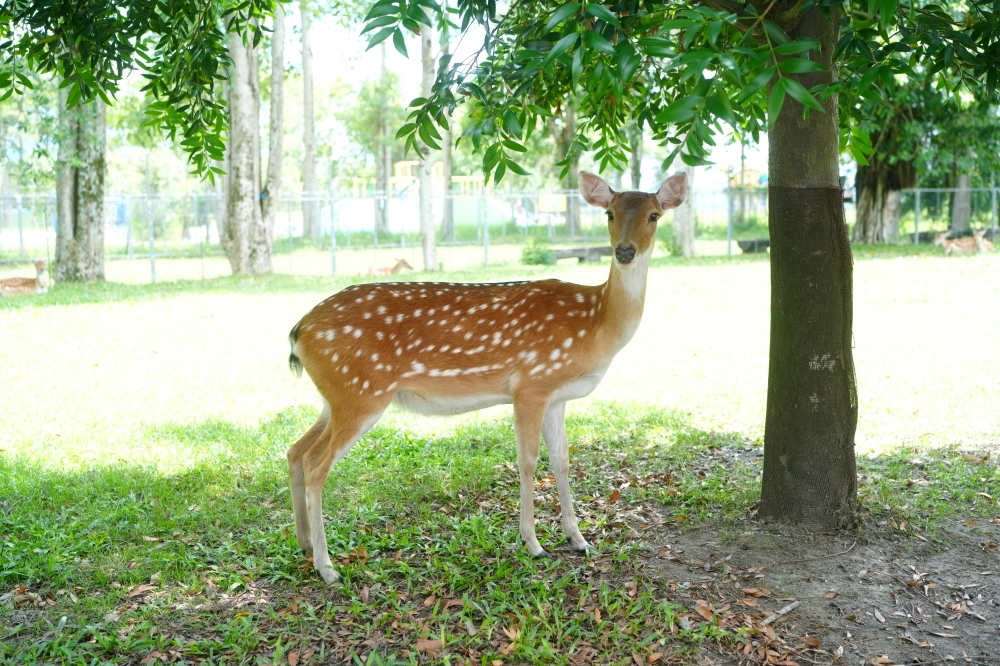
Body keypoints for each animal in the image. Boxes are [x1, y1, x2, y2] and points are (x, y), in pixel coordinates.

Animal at [286, 171, 688, 584]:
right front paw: (534, 544)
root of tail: (298, 331)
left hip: (337, 396)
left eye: (654, 215)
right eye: (609, 213)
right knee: (316, 467)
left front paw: (578, 540)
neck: (596, 322)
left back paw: (304, 543)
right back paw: (327, 567)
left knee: (296, 451)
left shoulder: (557, 396)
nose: (624, 251)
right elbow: (528, 462)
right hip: (360, 393)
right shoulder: (530, 385)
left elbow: (562, 461)